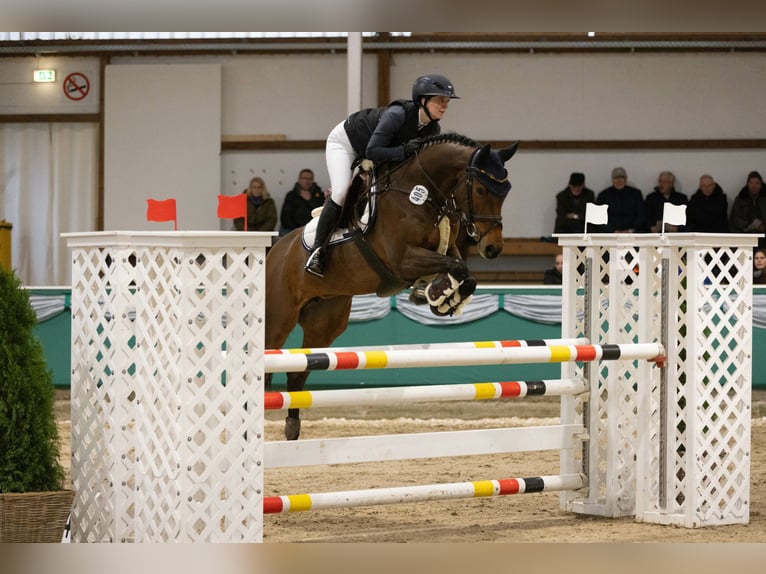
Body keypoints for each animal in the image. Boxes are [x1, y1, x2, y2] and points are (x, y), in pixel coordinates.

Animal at [266, 134, 520, 440]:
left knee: (299, 372)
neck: (423, 194)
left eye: (505, 192)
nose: (493, 248)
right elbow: (456, 267)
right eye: (482, 190)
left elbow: (462, 271)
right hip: (279, 318)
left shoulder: (444, 249)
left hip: (325, 322)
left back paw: (292, 427)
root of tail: (275, 249)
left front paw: (440, 298)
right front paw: (439, 295)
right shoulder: (403, 259)